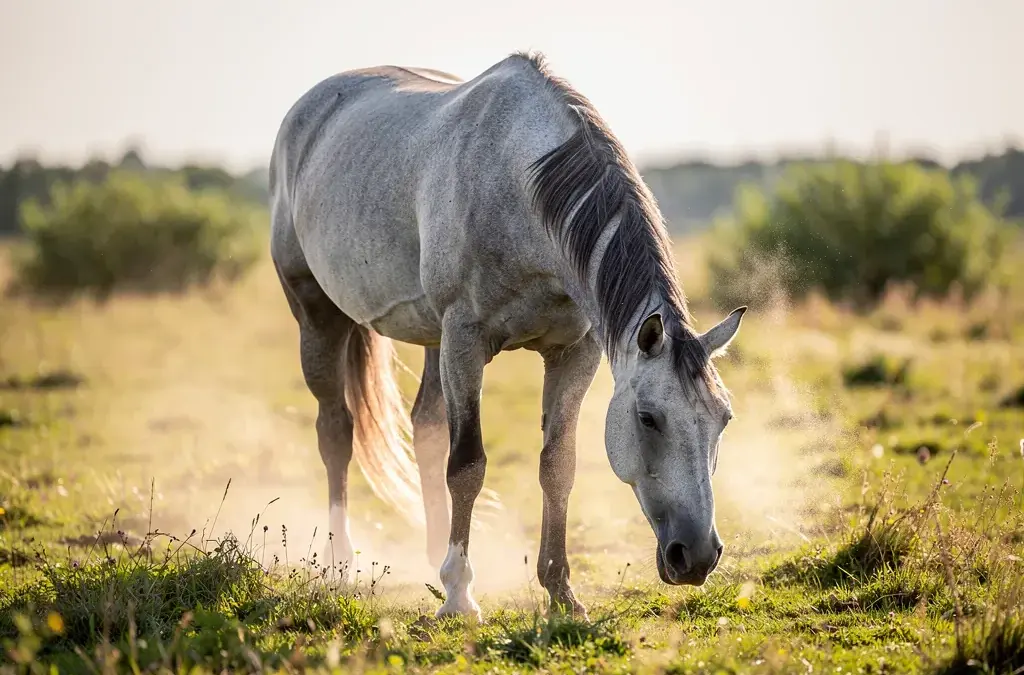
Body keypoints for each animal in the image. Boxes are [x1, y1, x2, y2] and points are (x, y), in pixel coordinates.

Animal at [269, 51, 745, 621]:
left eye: (724, 419)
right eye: (649, 418)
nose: (696, 556)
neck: (519, 189)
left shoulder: (574, 352)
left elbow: (558, 466)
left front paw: (562, 592)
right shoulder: (465, 339)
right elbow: (468, 465)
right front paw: (459, 595)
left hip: (431, 340)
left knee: (426, 428)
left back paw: (433, 552)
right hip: (318, 316)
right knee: (336, 432)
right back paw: (343, 563)